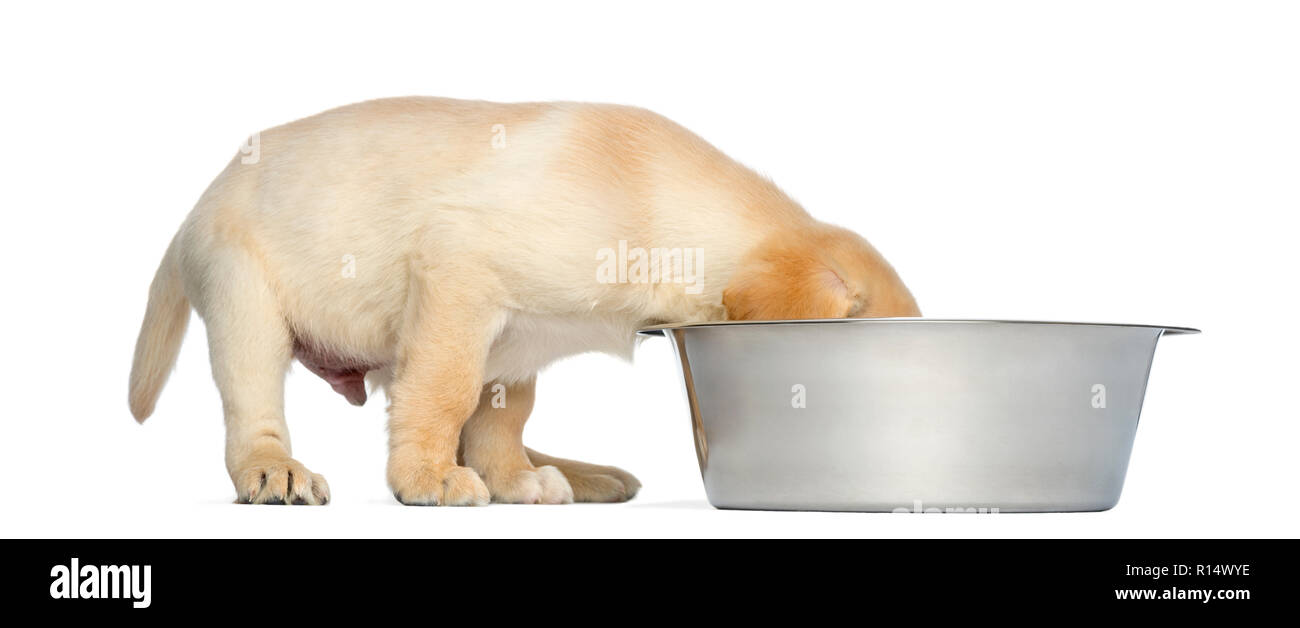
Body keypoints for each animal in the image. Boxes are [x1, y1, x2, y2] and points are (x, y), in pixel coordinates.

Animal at [126, 96, 920, 507]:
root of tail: (197, 204)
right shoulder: (459, 274)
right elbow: (443, 392)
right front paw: (426, 478)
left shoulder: (518, 344)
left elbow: (501, 421)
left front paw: (509, 478)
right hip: (245, 303)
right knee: (252, 409)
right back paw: (274, 470)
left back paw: (577, 472)